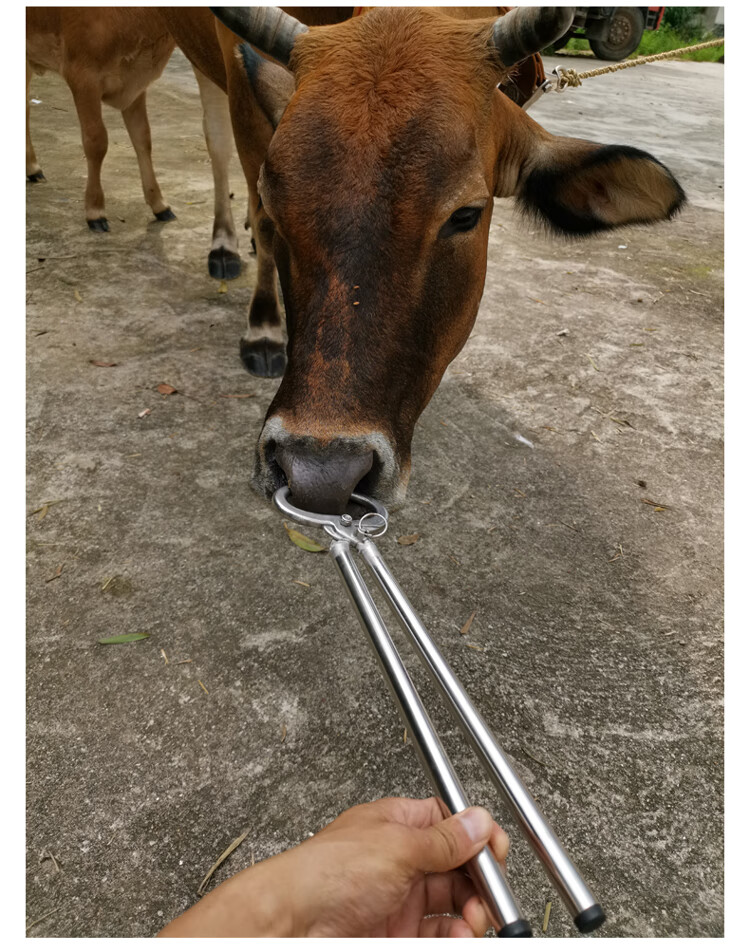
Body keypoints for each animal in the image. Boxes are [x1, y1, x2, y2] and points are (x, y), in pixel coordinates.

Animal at [25, 7, 179, 230]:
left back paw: (32, 168)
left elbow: (143, 139)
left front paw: (159, 203)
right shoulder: (82, 76)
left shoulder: (135, 82)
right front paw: (95, 211)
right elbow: (96, 142)